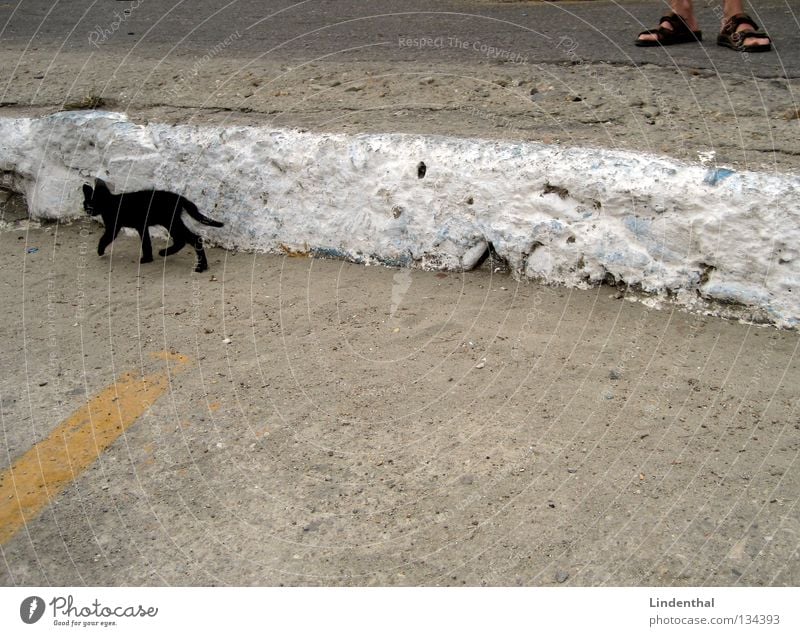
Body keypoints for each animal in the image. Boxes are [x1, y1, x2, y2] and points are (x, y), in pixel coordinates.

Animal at [81, 178, 223, 272]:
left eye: (88, 203)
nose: (86, 210)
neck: (109, 202)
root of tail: (180, 198)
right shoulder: (141, 226)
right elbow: (146, 242)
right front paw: (148, 258)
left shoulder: (113, 227)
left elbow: (104, 238)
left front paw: (100, 250)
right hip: (171, 222)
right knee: (182, 240)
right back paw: (166, 253)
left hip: (171, 221)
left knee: (194, 238)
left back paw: (201, 266)